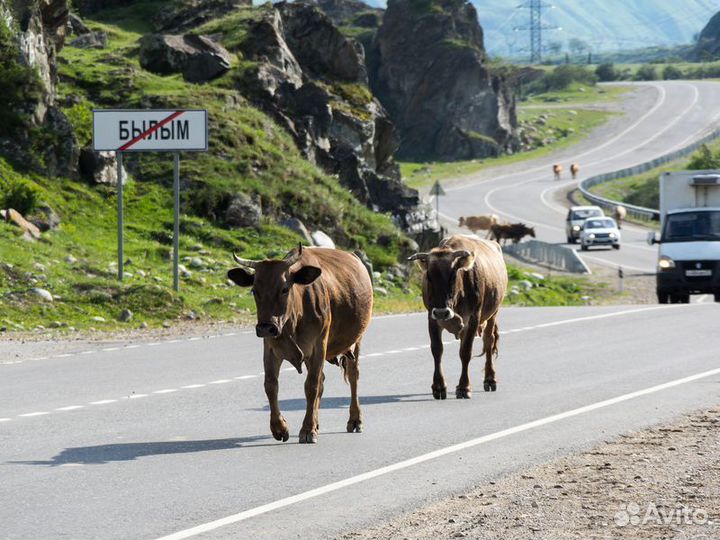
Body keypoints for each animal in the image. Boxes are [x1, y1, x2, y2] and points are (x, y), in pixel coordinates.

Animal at [228, 245, 374, 442]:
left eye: (284, 288)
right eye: (254, 290)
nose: (266, 327)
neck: (292, 322)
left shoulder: (319, 346)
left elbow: (311, 386)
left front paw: (307, 430)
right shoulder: (270, 349)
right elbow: (271, 385)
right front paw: (279, 428)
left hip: (356, 340)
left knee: (353, 376)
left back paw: (355, 420)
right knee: (322, 380)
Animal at [410, 236, 506, 400]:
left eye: (453, 275)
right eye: (429, 276)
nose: (442, 312)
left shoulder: (473, 319)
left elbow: (466, 352)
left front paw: (464, 387)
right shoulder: (432, 318)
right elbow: (437, 349)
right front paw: (439, 387)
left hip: (493, 313)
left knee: (488, 341)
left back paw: (490, 379)